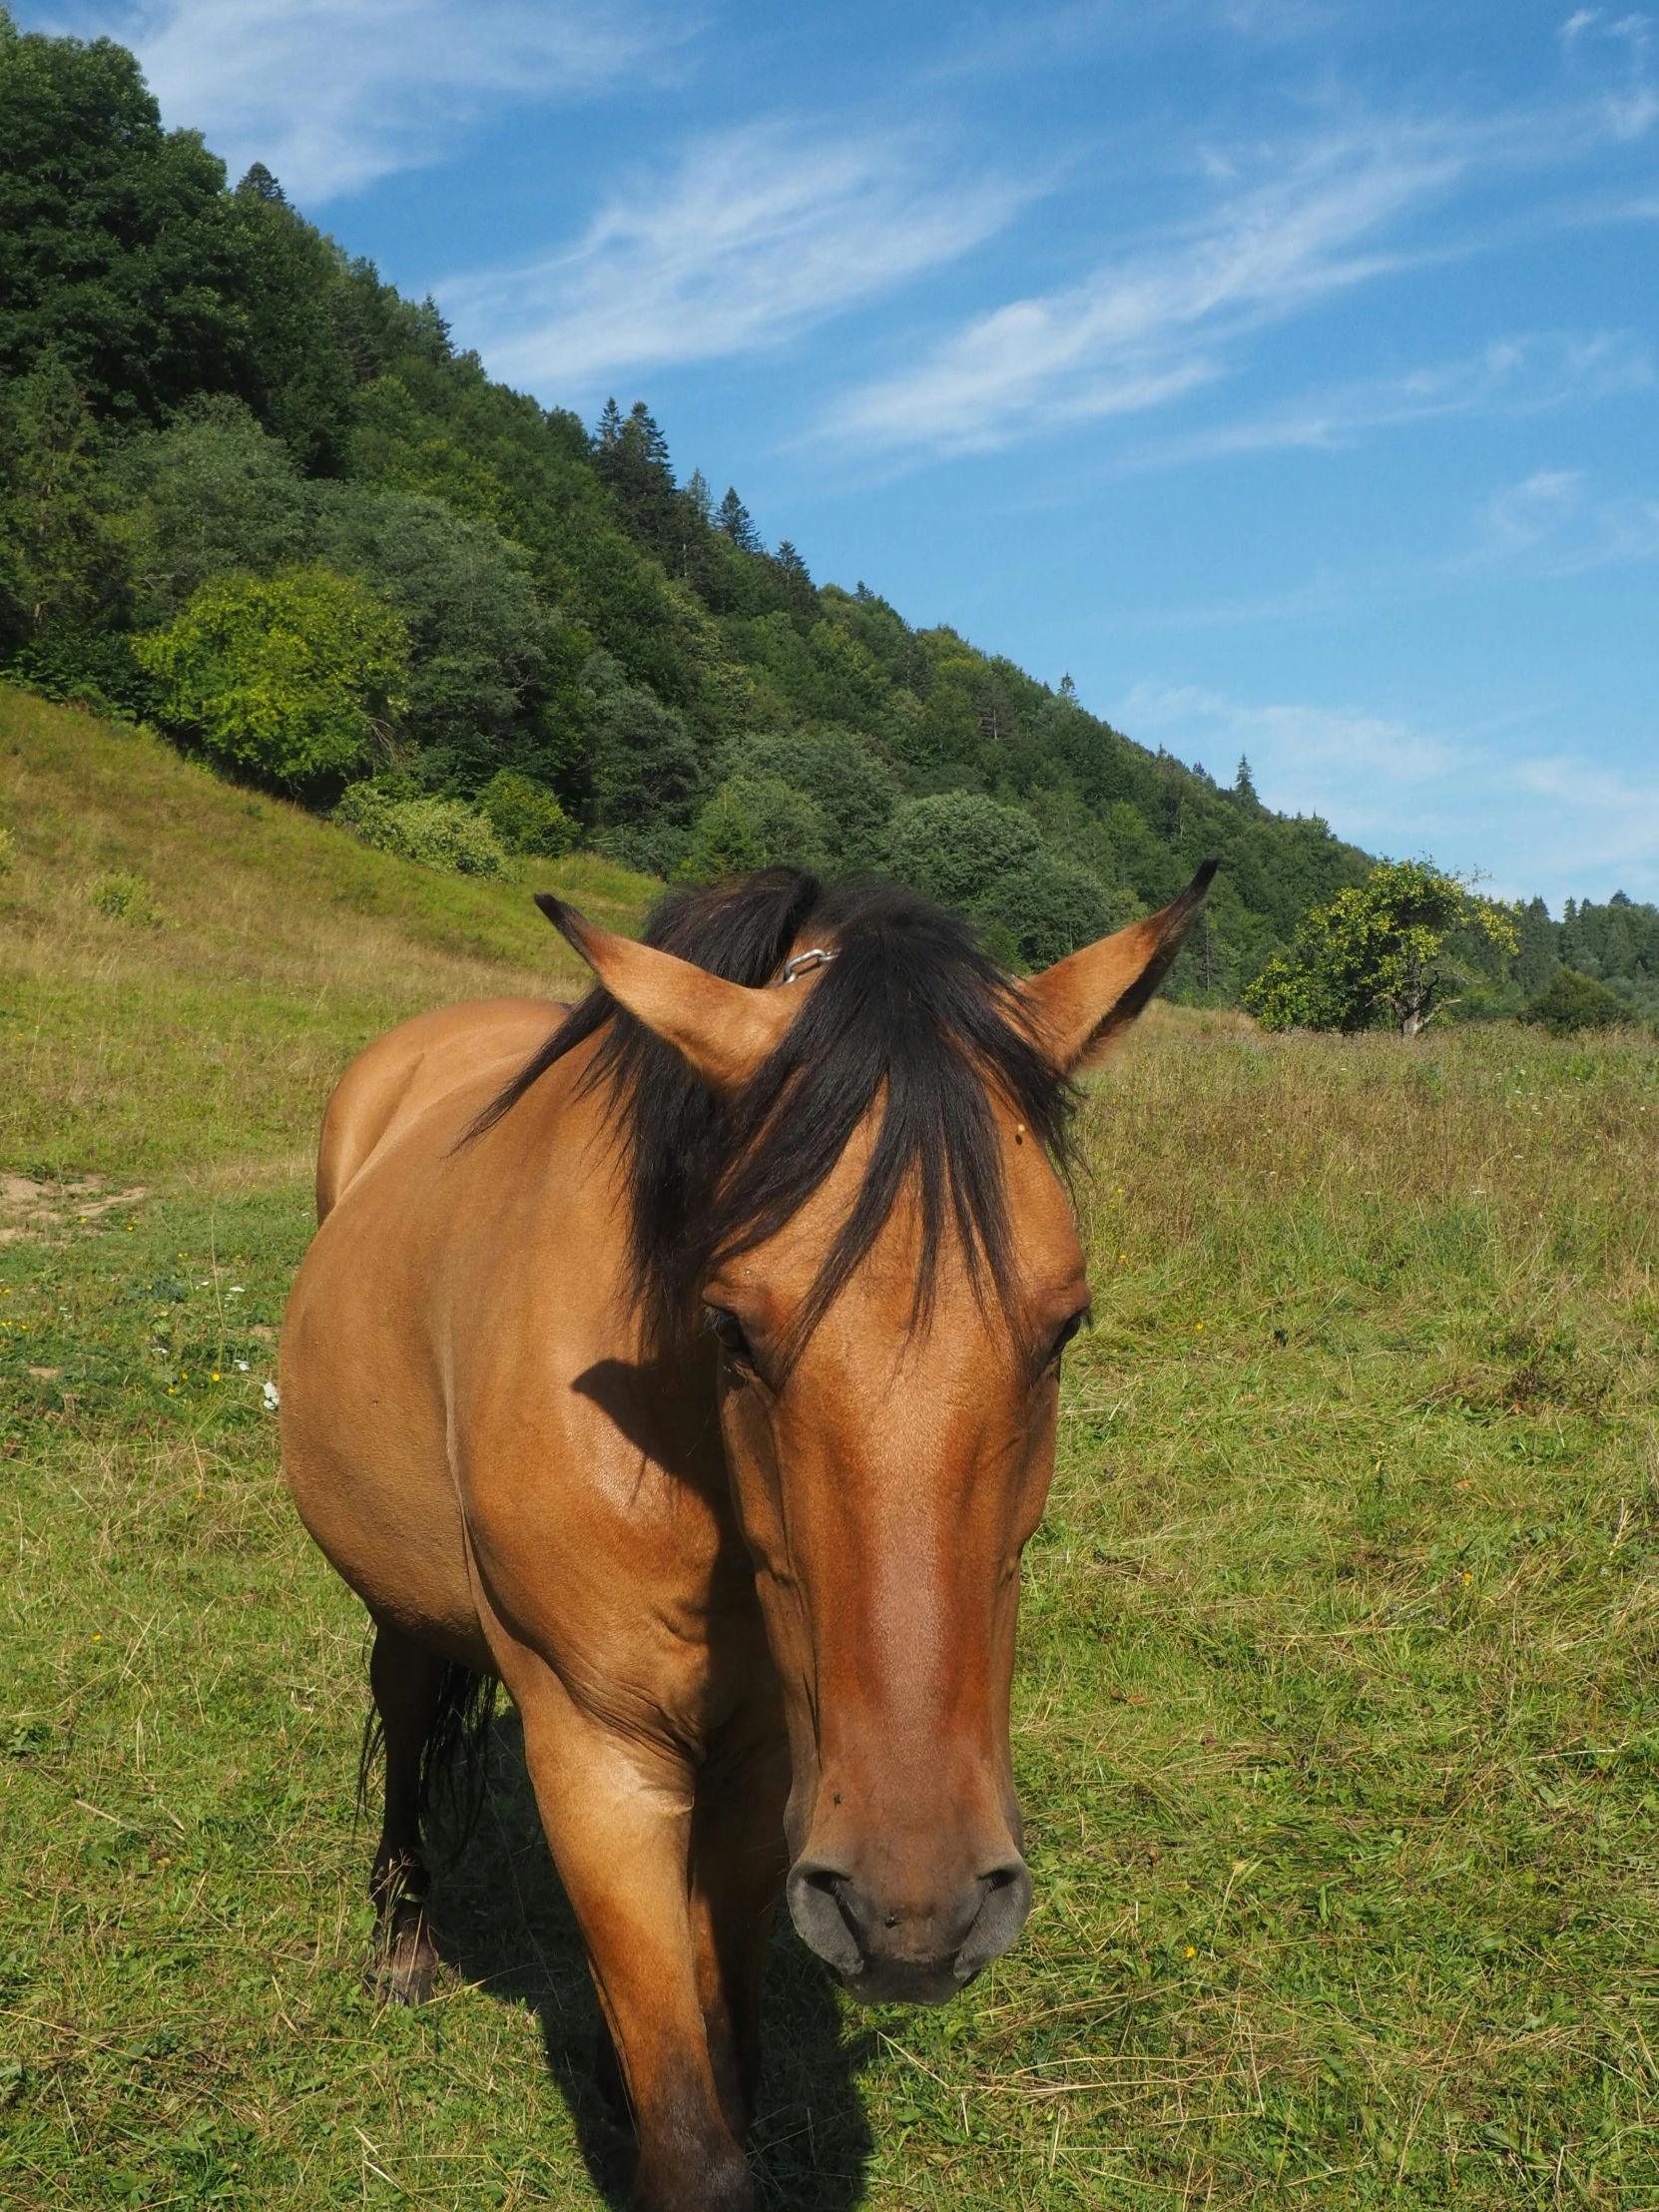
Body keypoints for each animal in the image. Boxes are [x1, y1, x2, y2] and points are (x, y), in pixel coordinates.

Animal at [279, 862, 1212, 2212]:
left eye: (1065, 1325)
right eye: (731, 1325)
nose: (918, 1911)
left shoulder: (766, 1767)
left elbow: (728, 2052)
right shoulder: (599, 1761)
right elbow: (694, 2144)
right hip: (402, 1600)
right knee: (405, 1709)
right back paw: (404, 1941)